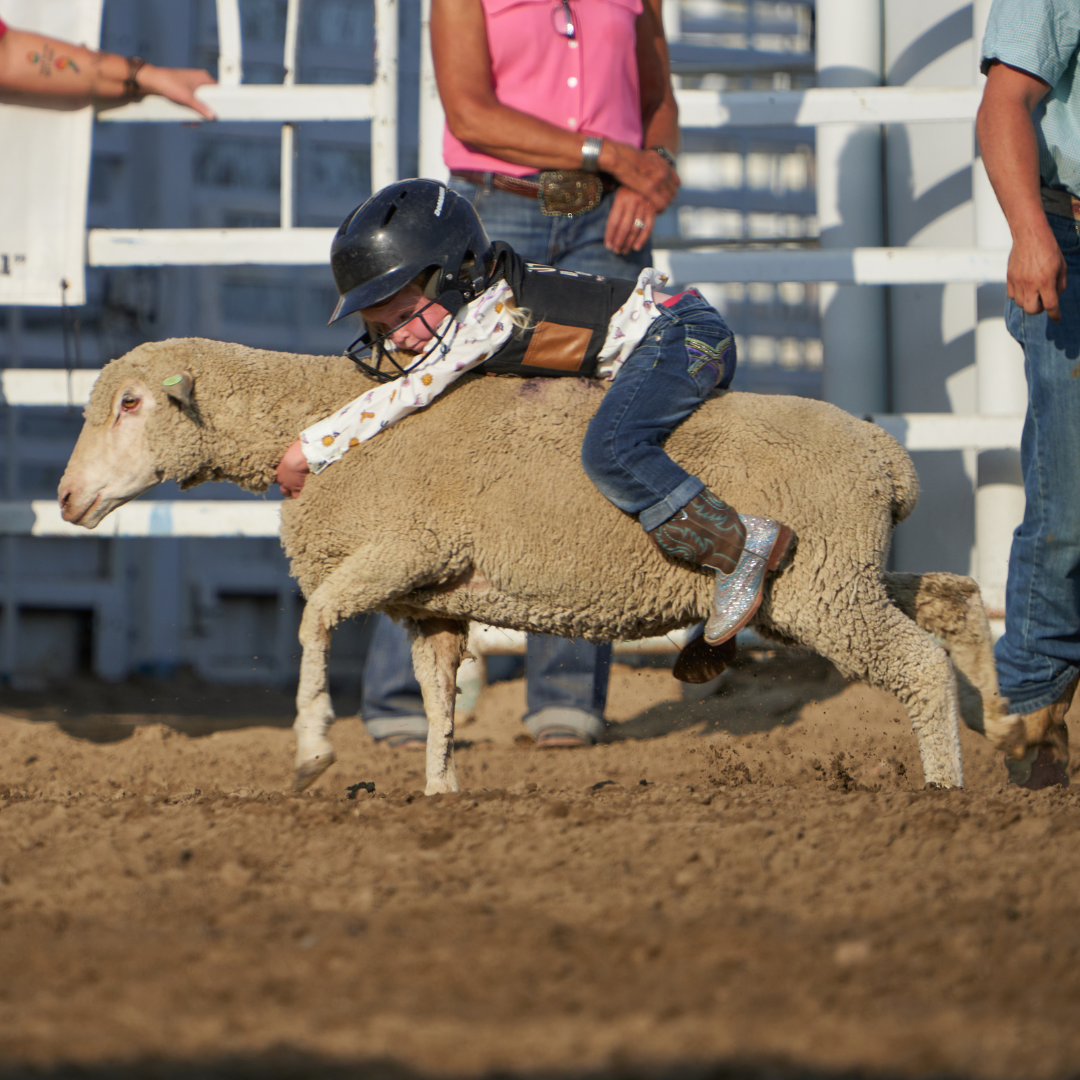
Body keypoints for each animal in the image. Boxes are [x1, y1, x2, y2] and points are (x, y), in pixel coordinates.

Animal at [58, 338, 1011, 794]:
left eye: (132, 404)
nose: (66, 500)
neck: (319, 418)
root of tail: (891, 460)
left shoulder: (405, 546)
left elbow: (315, 618)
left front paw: (311, 747)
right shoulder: (430, 600)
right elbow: (438, 700)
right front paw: (441, 790)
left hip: (821, 589)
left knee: (917, 663)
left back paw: (945, 789)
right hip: (827, 580)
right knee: (955, 599)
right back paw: (1009, 731)